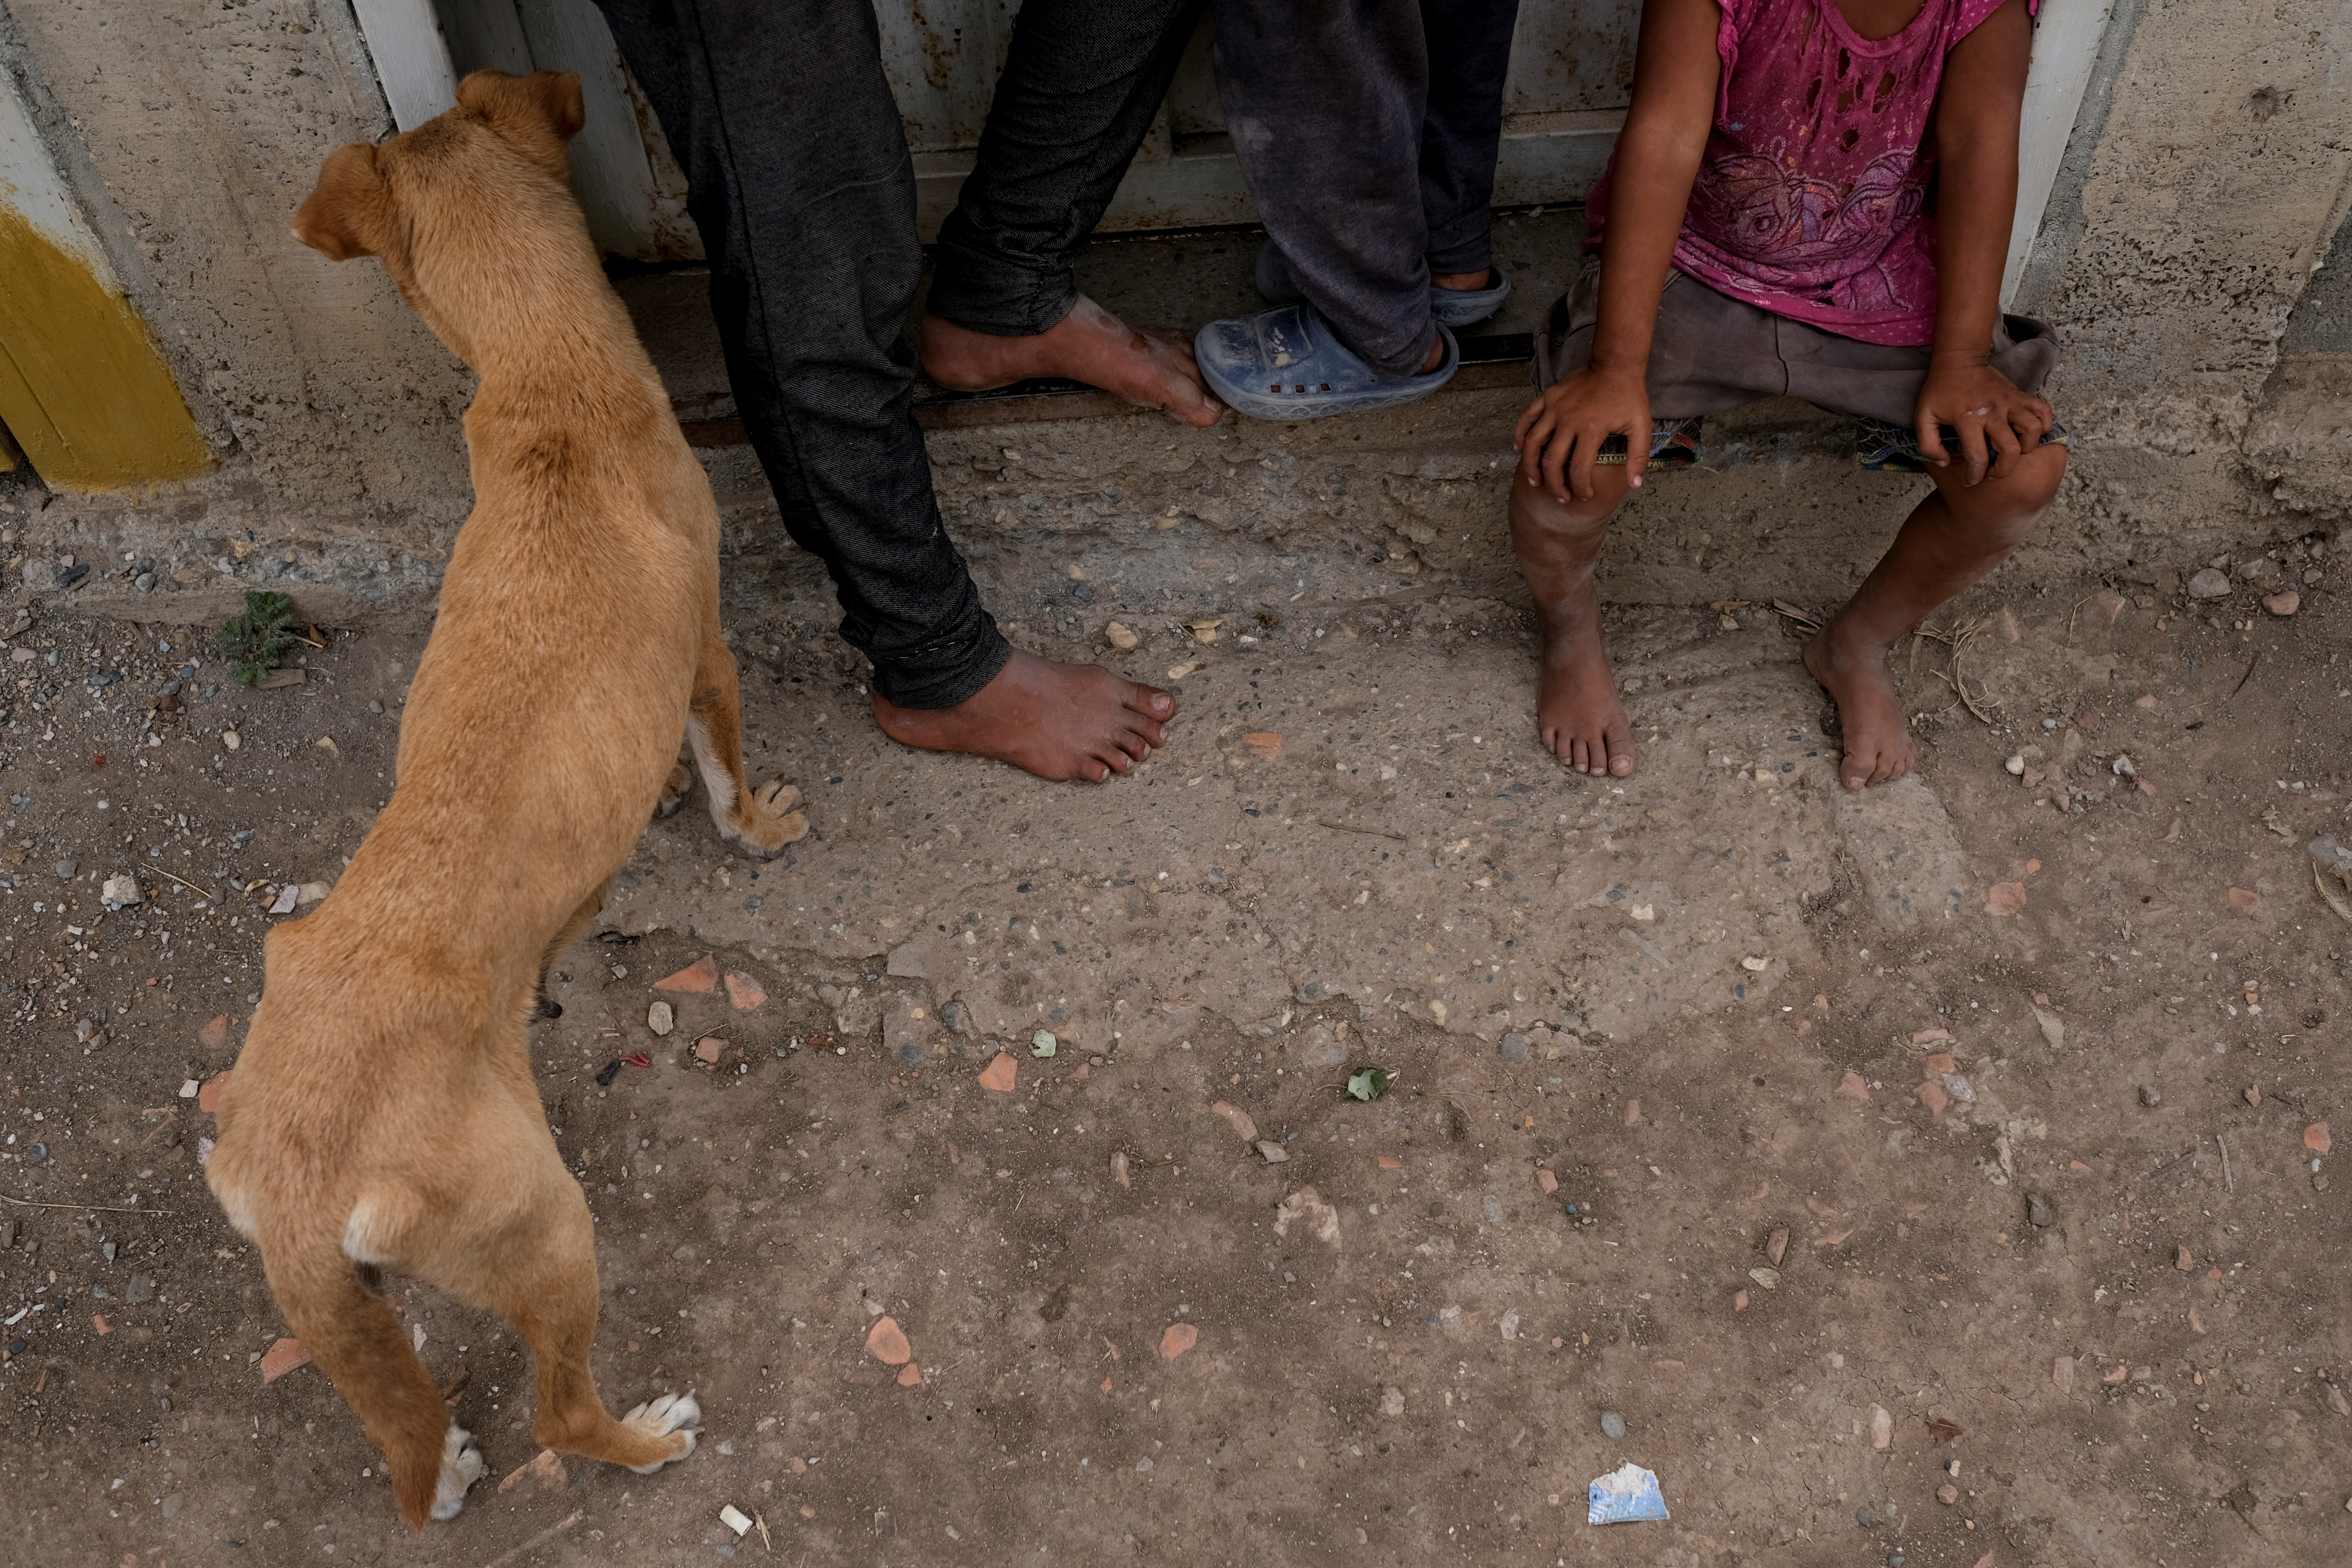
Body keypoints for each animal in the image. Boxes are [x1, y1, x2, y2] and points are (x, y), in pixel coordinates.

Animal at [207, 73, 809, 1533]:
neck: (545, 382)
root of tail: (299, 1181)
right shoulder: (706, 652)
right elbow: (722, 773)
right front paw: (751, 824)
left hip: (364, 1296)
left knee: (406, 1410)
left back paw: (451, 1466)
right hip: (548, 1230)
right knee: (560, 1413)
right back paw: (644, 1439)